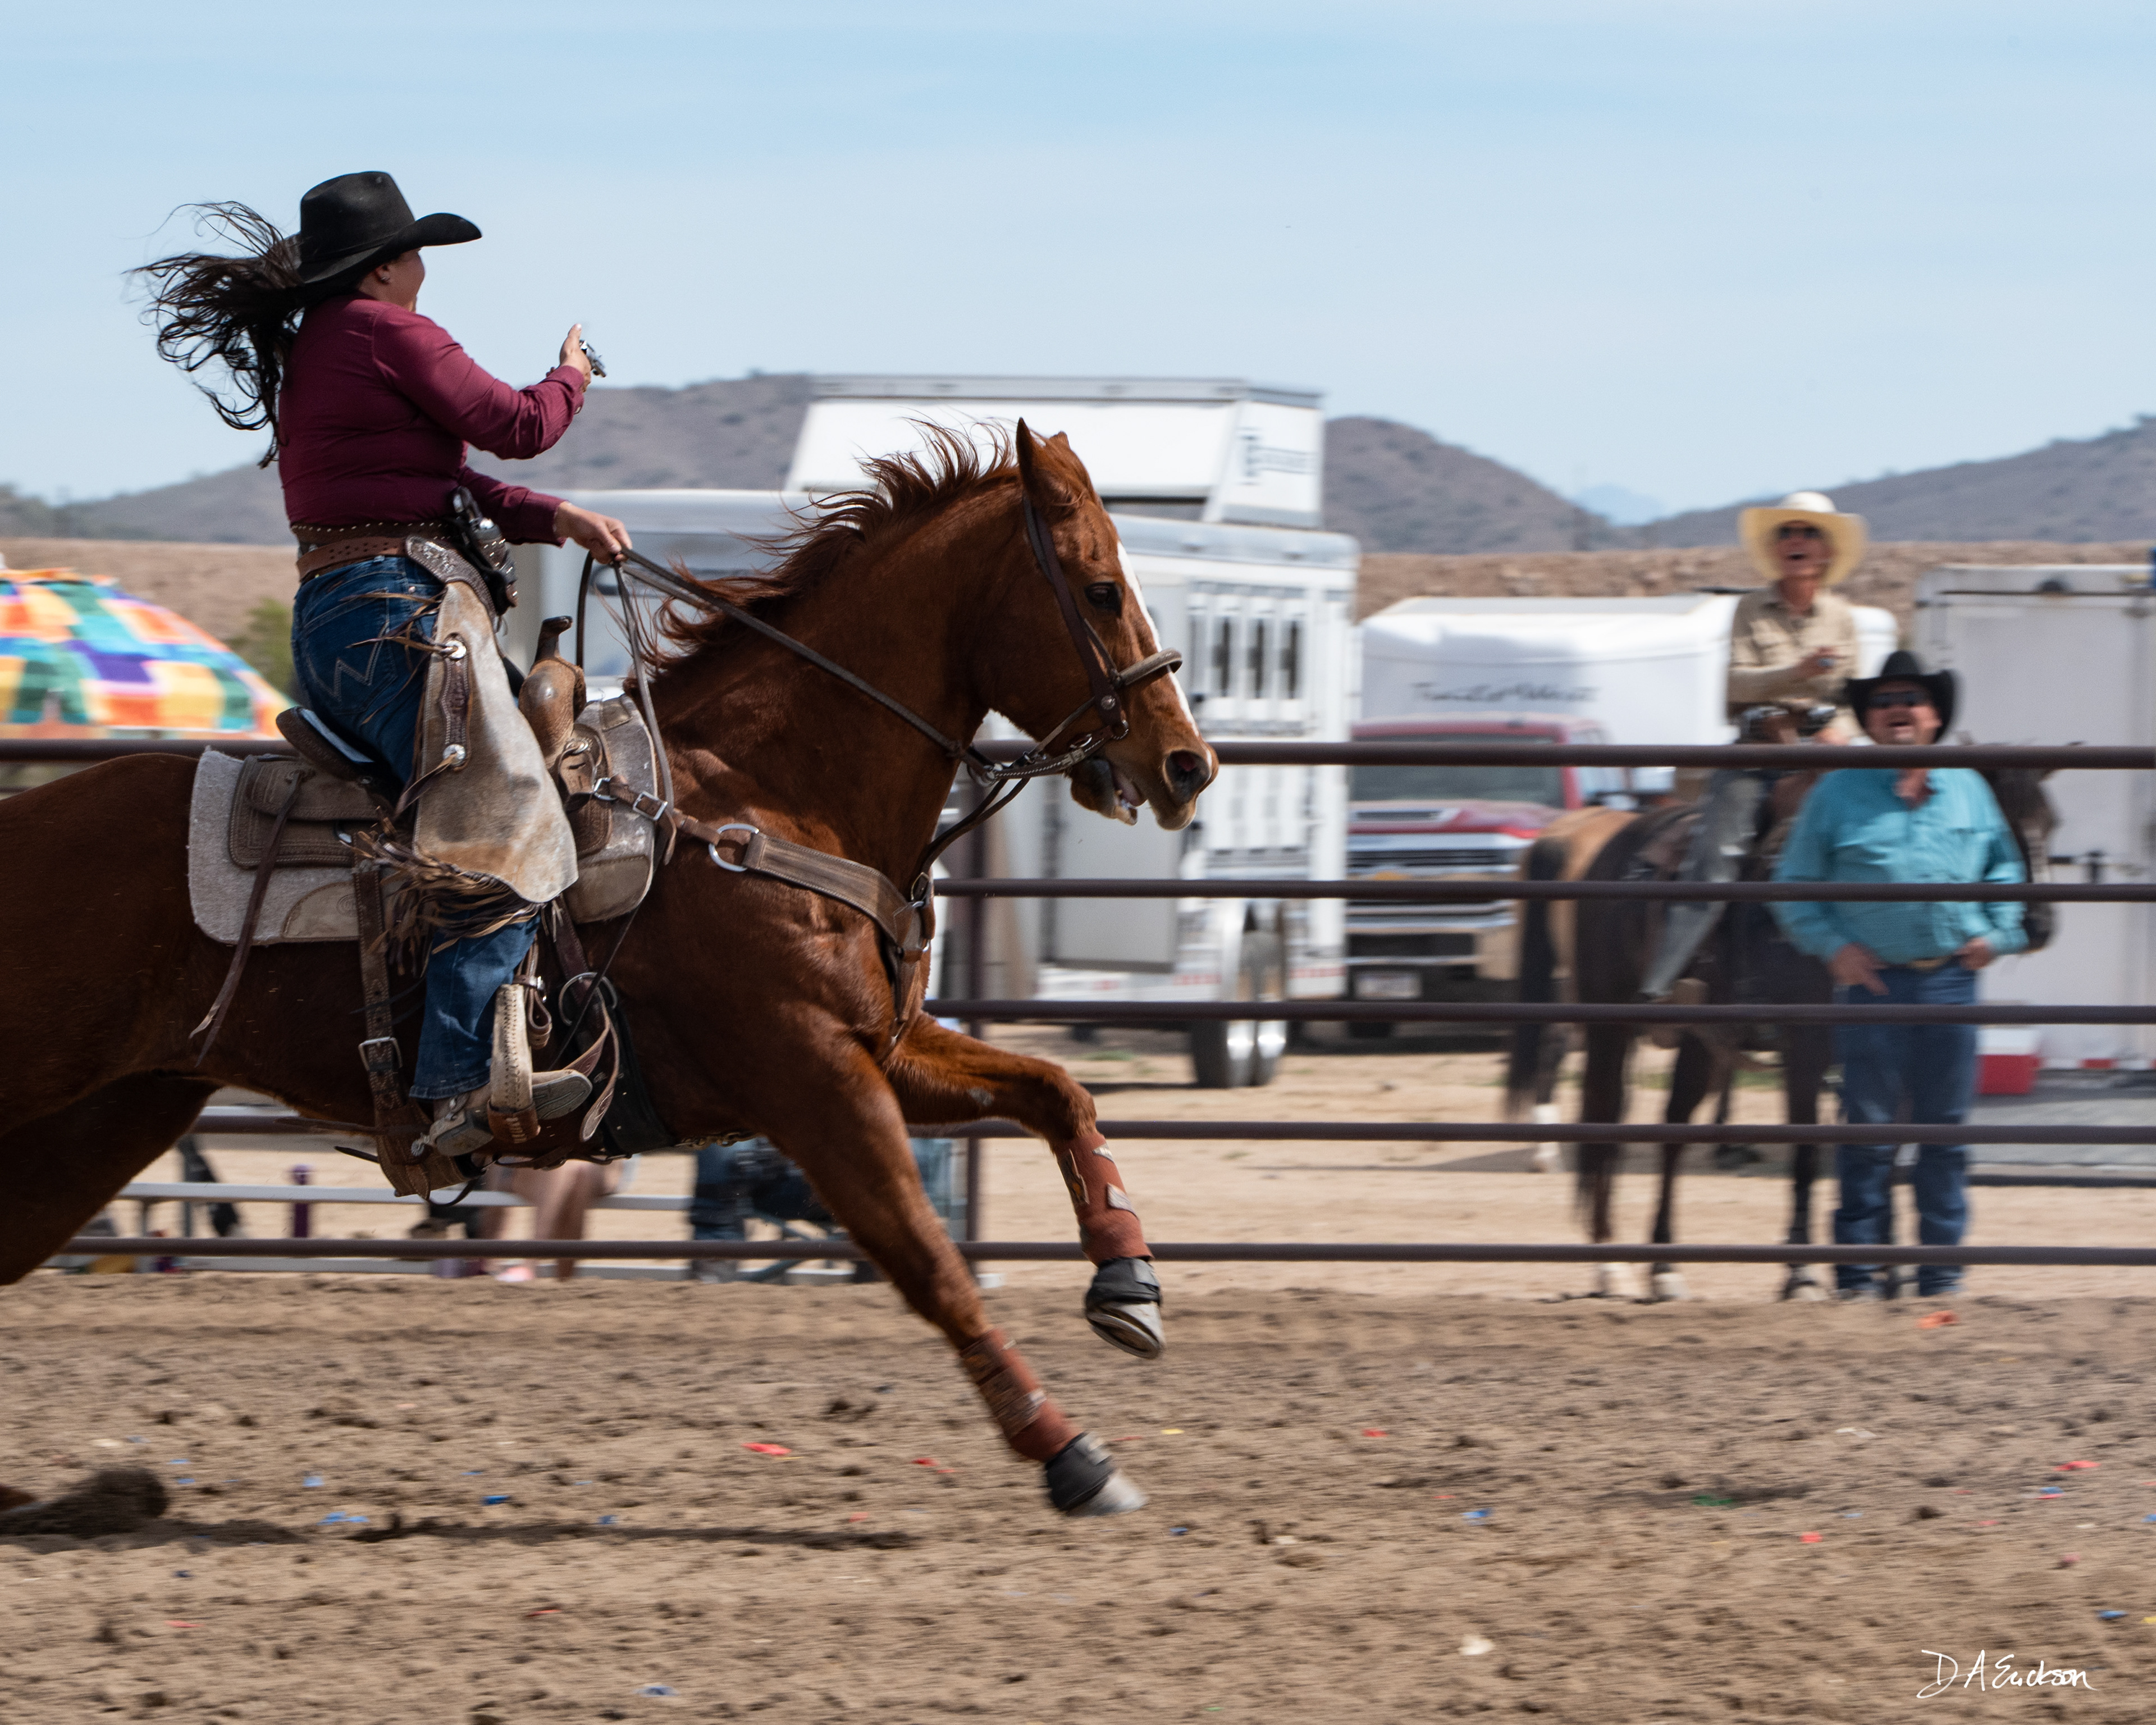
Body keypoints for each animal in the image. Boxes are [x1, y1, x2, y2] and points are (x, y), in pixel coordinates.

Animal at [0, 422, 1216, 1518]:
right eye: (1101, 589)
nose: (1187, 765)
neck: (765, 800)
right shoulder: (815, 1080)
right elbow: (931, 1262)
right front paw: (1072, 1454)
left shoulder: (884, 1051)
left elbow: (1058, 1092)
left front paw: (1129, 1284)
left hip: (115, 1114)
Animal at [1505, 762, 2056, 1301]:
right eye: (1998, 825)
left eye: (2051, 824)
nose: (2039, 925)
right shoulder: (1806, 1045)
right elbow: (1808, 1151)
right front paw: (1802, 1274)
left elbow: (1885, 1148)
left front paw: (1891, 1272)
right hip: (1609, 1025)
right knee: (1603, 1120)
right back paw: (1611, 1264)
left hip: (1698, 1040)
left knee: (1673, 1129)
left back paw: (1663, 1266)